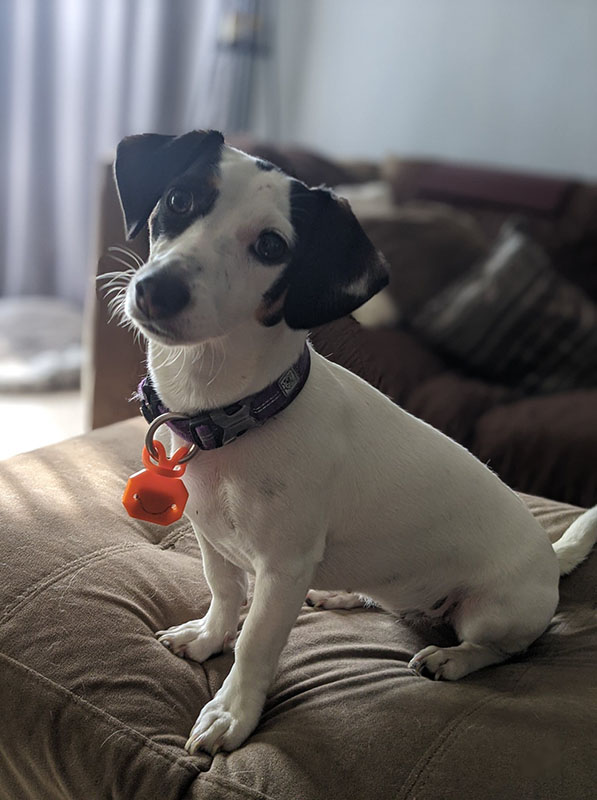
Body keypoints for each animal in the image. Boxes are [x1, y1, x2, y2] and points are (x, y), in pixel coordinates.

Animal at [113, 128, 596, 752]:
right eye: (178, 200)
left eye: (271, 245)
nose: (157, 291)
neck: (231, 415)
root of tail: (551, 557)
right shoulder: (209, 537)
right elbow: (222, 593)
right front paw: (208, 637)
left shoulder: (283, 568)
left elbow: (256, 644)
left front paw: (231, 713)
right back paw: (342, 592)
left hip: (495, 610)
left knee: (500, 648)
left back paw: (452, 659)